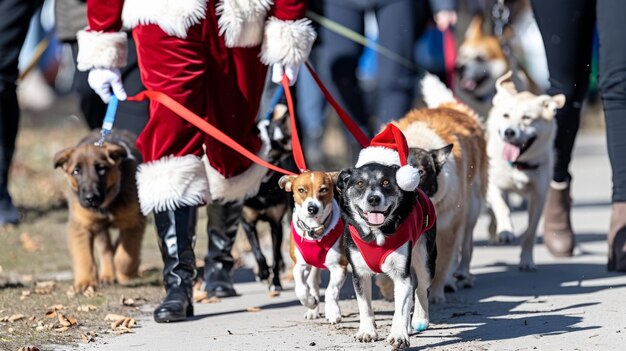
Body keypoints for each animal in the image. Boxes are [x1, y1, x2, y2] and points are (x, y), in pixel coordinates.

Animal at [53, 130, 145, 292]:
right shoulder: (80, 226)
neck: (106, 204)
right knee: (105, 249)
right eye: (76, 171)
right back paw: (107, 275)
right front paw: (85, 282)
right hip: (99, 228)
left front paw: (125, 272)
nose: (91, 198)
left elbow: (125, 255)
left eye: (101, 169)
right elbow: (84, 257)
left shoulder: (133, 222)